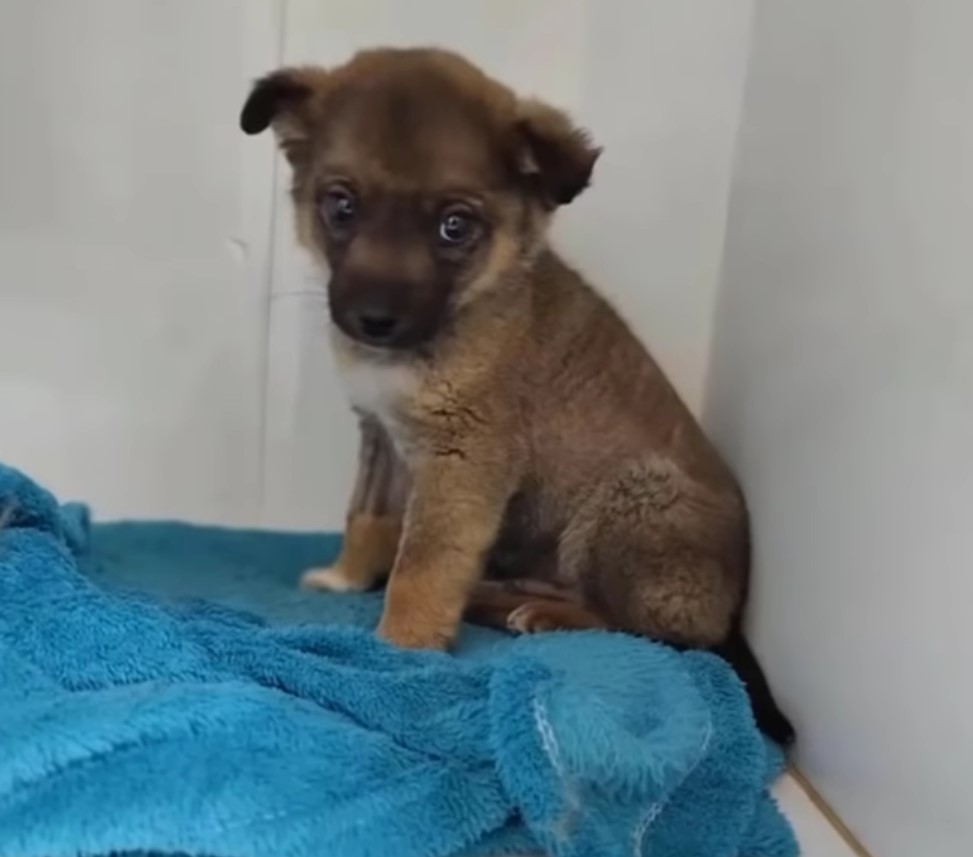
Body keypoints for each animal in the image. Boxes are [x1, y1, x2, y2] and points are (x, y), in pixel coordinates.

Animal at [239, 48, 792, 744]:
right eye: (340, 205)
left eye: (454, 227)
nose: (372, 320)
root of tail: (734, 610)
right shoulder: (383, 438)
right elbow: (367, 518)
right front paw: (346, 577)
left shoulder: (464, 460)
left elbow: (424, 566)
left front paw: (399, 649)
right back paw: (500, 595)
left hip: (633, 500)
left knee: (657, 632)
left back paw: (543, 615)